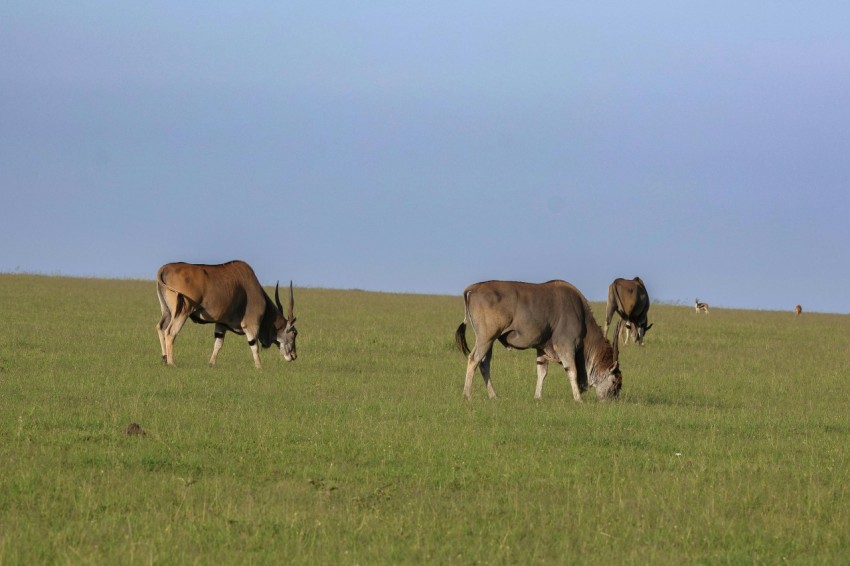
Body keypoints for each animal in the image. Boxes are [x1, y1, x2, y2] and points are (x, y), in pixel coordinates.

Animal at [154, 260, 296, 370]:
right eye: (294, 333)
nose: (294, 356)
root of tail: (164, 268)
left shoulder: (221, 324)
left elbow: (218, 344)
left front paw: (211, 364)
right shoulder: (252, 324)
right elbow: (254, 345)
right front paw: (259, 366)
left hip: (167, 311)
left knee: (160, 327)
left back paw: (164, 359)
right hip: (183, 312)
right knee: (170, 332)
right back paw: (172, 363)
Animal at [454, 280, 620, 404]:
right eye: (615, 382)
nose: (612, 401)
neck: (582, 316)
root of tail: (473, 288)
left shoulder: (542, 348)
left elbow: (542, 372)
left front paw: (537, 397)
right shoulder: (565, 346)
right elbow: (572, 371)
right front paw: (578, 399)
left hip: (489, 341)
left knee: (484, 364)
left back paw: (493, 396)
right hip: (486, 339)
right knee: (473, 359)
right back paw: (467, 395)